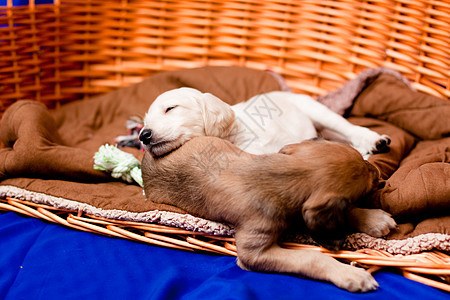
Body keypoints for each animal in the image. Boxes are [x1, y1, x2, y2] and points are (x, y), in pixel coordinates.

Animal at [139, 86, 388, 158]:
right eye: (145, 122)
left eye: (170, 108)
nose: (143, 135)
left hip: (317, 110)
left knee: (350, 129)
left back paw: (374, 141)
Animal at [142, 137, 396, 292]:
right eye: (366, 186)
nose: (380, 176)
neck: (282, 177)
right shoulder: (254, 253)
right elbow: (313, 257)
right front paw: (349, 274)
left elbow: (345, 212)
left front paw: (374, 218)